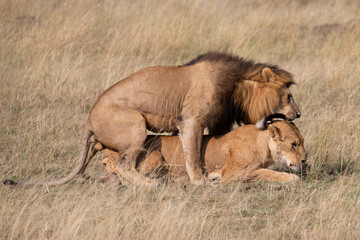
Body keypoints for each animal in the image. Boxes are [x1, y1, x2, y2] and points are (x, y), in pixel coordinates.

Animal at [102, 121, 306, 185]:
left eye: (302, 142)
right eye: (294, 144)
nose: (304, 160)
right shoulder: (231, 174)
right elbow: (265, 172)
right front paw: (291, 178)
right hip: (154, 155)